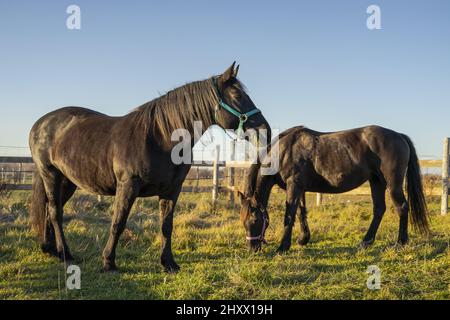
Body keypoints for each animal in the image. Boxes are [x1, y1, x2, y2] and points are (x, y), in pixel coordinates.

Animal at [29, 63, 268, 272]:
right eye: (237, 96)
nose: (264, 128)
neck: (158, 137)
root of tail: (40, 124)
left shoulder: (172, 190)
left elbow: (166, 225)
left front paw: (169, 263)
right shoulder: (128, 186)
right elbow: (118, 223)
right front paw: (108, 262)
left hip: (68, 181)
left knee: (52, 210)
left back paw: (51, 249)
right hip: (50, 175)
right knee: (55, 211)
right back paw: (65, 254)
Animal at [239, 125, 428, 252]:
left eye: (255, 219)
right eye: (243, 220)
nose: (252, 248)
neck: (285, 151)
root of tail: (399, 136)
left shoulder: (294, 186)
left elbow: (289, 215)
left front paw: (283, 247)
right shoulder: (299, 188)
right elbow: (301, 212)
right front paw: (303, 239)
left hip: (392, 184)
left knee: (401, 207)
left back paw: (400, 242)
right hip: (376, 182)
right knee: (379, 209)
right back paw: (366, 241)